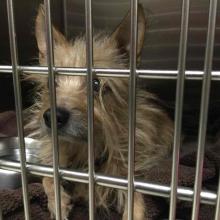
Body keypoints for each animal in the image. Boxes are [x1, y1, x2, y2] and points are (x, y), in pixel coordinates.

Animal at [26, 3, 174, 220]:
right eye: (51, 83)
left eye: (96, 84)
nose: (52, 116)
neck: (84, 149)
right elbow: (48, 178)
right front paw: (58, 201)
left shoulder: (125, 176)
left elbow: (136, 202)